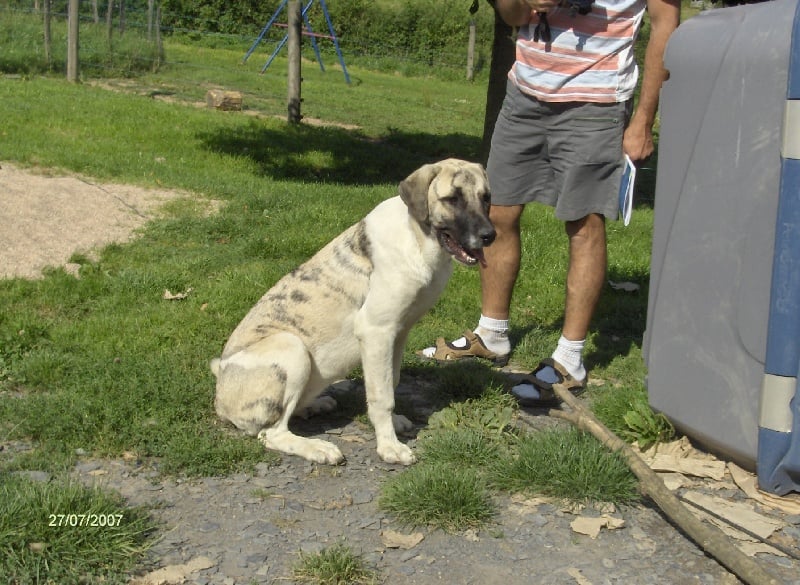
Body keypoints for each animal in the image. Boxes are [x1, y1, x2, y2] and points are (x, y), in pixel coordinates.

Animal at [211, 159, 495, 465]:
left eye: (486, 197)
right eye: (452, 199)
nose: (489, 235)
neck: (417, 238)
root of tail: (220, 385)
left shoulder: (399, 332)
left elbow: (391, 381)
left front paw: (394, 424)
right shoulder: (376, 331)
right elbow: (382, 396)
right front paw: (389, 447)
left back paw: (314, 405)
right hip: (291, 345)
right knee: (272, 432)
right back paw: (318, 448)